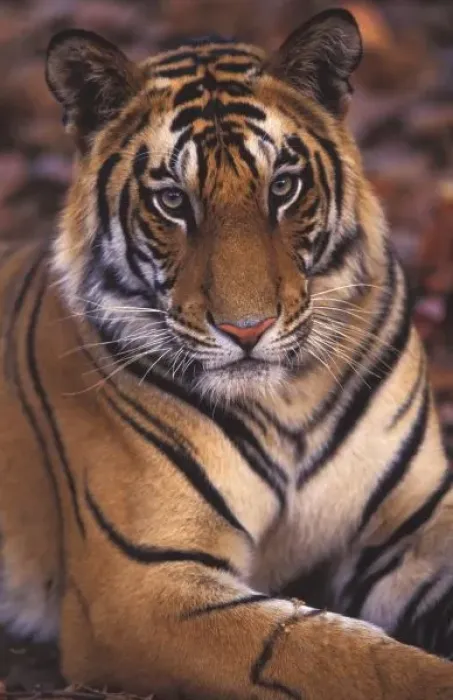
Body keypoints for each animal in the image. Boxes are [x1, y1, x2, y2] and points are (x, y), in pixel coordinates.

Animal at [1, 6, 453, 699]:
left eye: (284, 188)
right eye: (172, 201)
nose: (248, 329)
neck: (288, 400)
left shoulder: (411, 528)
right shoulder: (145, 582)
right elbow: (340, 655)